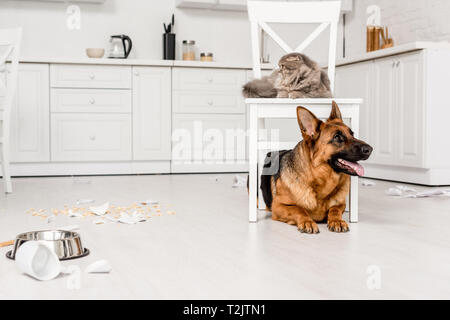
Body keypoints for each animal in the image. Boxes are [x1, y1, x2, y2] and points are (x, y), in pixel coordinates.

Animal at [260, 101, 372, 234]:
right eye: (337, 137)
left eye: (352, 134)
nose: (370, 149)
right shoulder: (278, 206)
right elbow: (298, 209)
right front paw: (307, 221)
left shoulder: (340, 205)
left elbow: (334, 209)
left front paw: (337, 221)